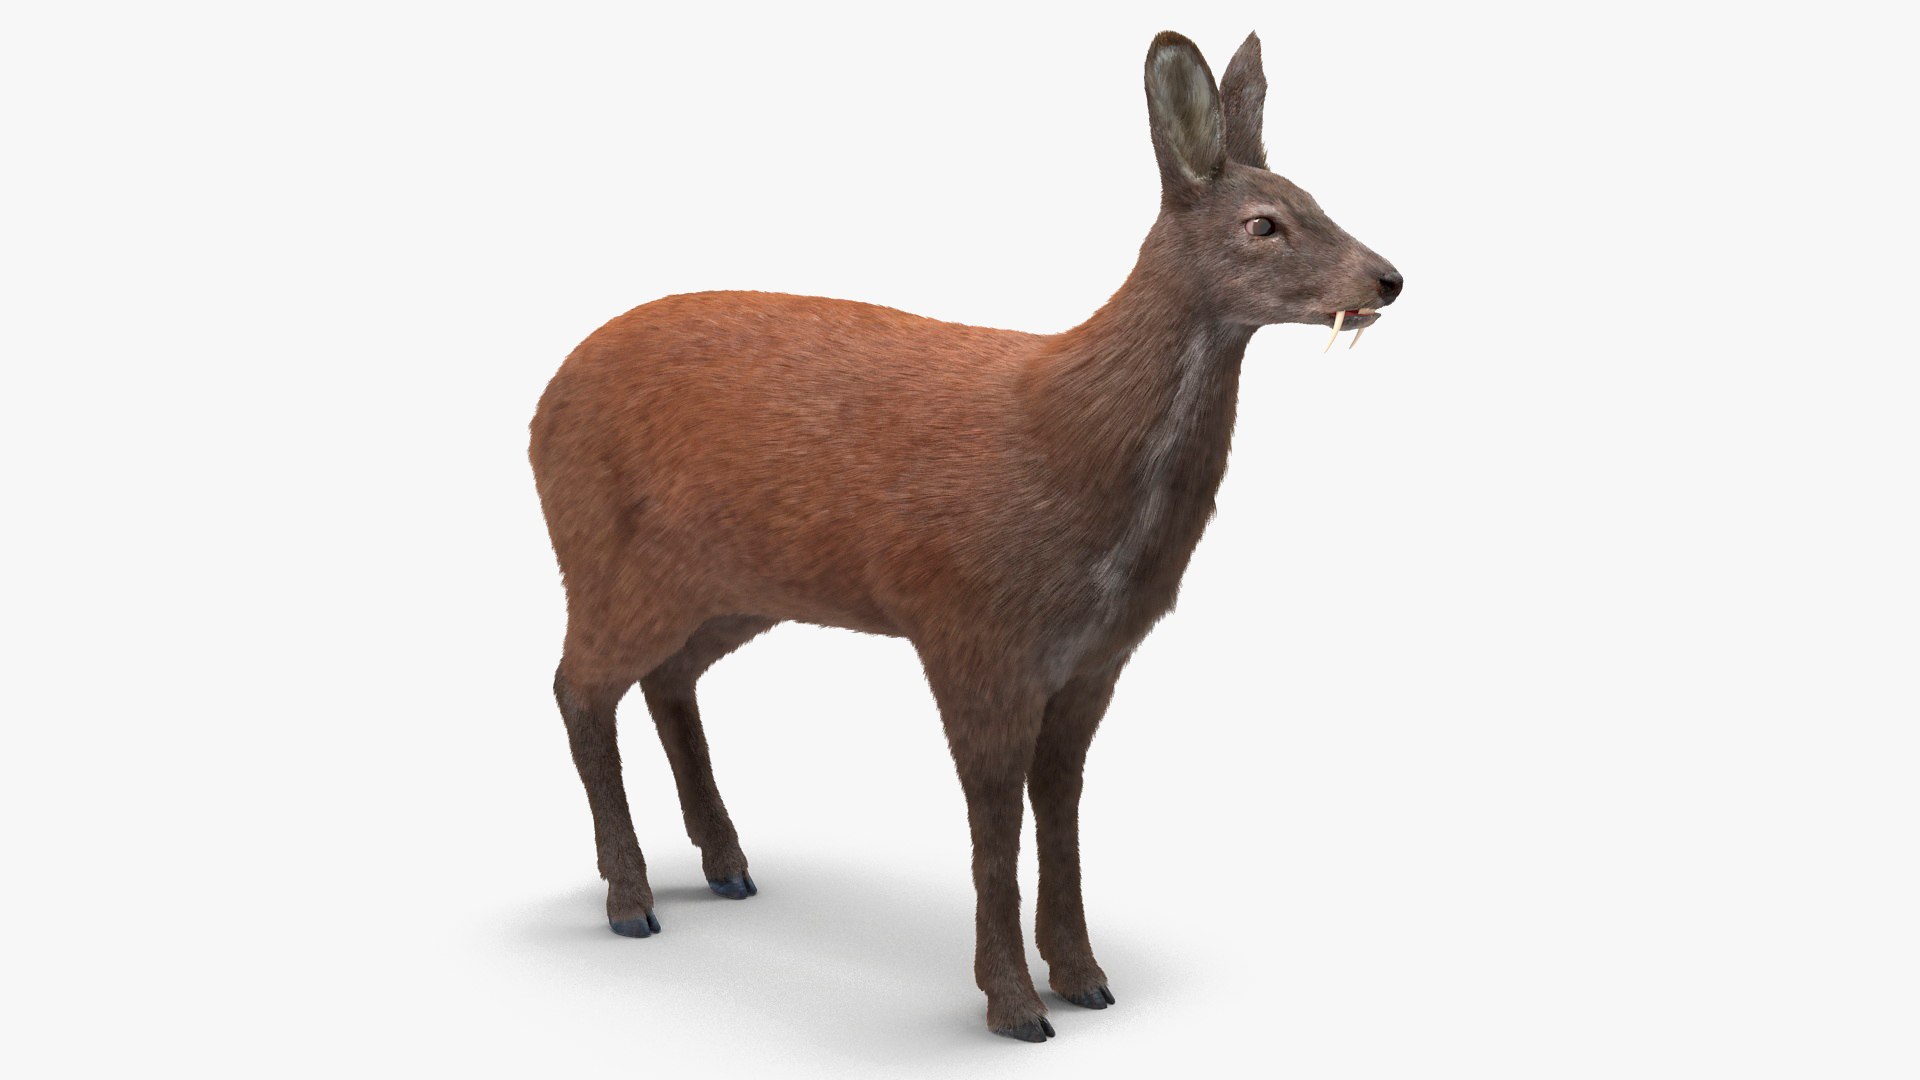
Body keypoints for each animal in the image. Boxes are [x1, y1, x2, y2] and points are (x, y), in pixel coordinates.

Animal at [529, 30, 1402, 1041]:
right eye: (1265, 223)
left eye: (1317, 198)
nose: (1388, 278)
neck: (1072, 452)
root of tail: (539, 406)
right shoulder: (972, 628)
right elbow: (994, 825)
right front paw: (1015, 1006)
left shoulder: (1092, 659)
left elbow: (1059, 811)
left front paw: (1085, 977)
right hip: (607, 556)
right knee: (576, 686)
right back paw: (631, 901)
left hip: (730, 587)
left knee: (666, 680)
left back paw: (727, 865)